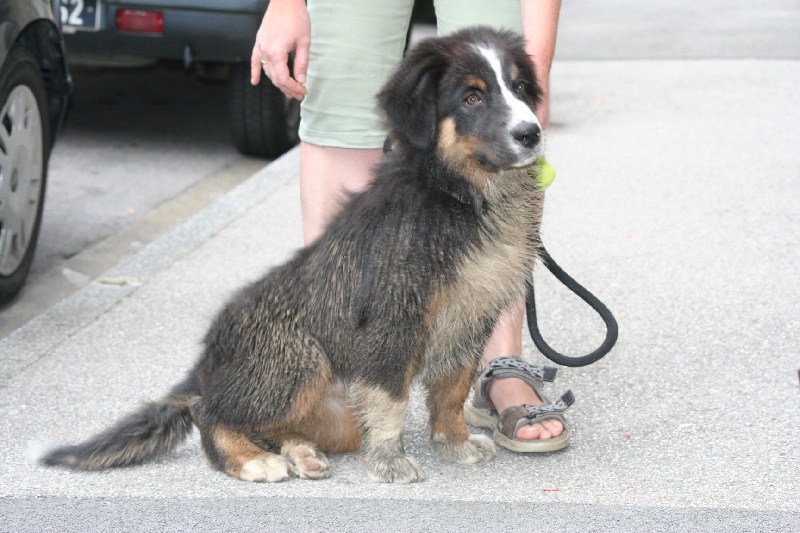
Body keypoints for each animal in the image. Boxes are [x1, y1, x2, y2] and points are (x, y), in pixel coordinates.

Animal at [41, 26, 546, 483]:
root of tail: (207, 362)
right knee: (210, 411)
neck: (458, 195)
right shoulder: (392, 319)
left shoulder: (471, 316)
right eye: (472, 98)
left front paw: (454, 443)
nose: (531, 133)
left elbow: (451, 391)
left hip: (337, 413)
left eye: (520, 88)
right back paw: (252, 461)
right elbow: (391, 398)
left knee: (275, 424)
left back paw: (299, 452)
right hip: (301, 361)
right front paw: (390, 461)